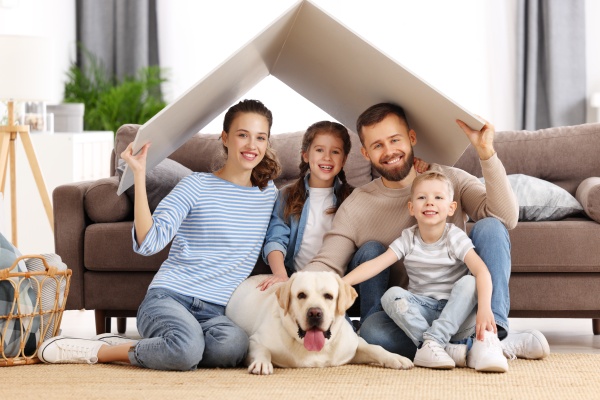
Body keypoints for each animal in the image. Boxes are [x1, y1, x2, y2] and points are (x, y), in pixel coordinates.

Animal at [225, 270, 412, 374]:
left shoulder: (353, 345)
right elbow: (262, 350)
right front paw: (262, 363)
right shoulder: (254, 340)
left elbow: (375, 347)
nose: (315, 313)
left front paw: (396, 358)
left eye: (328, 296)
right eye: (301, 295)